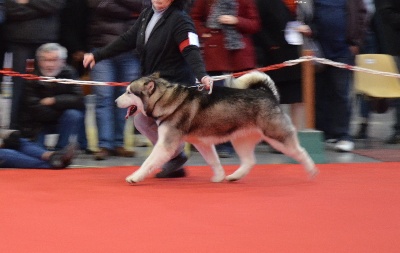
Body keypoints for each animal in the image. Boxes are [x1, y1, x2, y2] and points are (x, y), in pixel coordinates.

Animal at [115, 71, 318, 184]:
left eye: (128, 92)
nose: (116, 101)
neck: (165, 99)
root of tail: (268, 94)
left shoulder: (166, 145)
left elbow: (148, 162)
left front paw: (135, 177)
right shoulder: (202, 142)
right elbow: (213, 161)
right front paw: (219, 176)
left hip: (276, 136)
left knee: (300, 151)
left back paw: (312, 170)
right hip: (240, 139)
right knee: (249, 161)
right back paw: (234, 176)